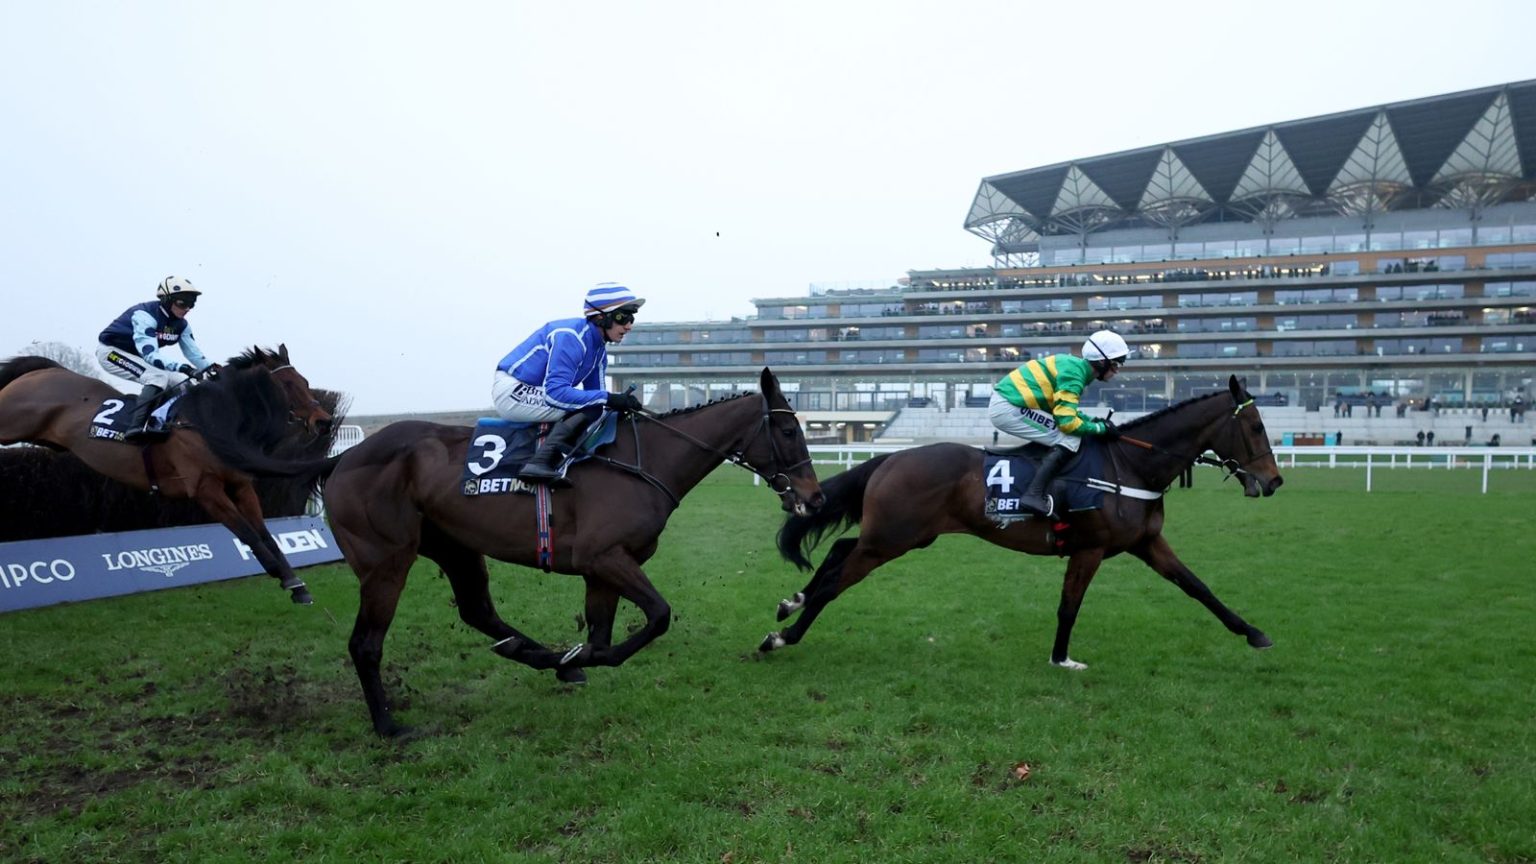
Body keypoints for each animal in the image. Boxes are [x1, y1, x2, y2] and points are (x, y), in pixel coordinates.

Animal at [0, 344, 336, 605]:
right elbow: (247, 533)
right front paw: (281, 575)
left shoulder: (241, 486)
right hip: (11, 424)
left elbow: (266, 534)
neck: (209, 421)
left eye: (305, 381)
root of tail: (42, 372)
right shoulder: (205, 490)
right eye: (288, 385)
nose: (324, 422)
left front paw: (295, 583)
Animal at [764, 375, 1284, 667]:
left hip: (902, 536)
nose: (1274, 480)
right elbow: (1069, 607)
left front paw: (1255, 633)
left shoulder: (1147, 543)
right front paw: (1061, 658)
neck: (1131, 467)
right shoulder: (1090, 548)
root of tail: (890, 459)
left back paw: (791, 603)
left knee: (838, 550)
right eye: (1256, 427)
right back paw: (783, 635)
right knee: (835, 582)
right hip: (890, 540)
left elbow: (1198, 587)